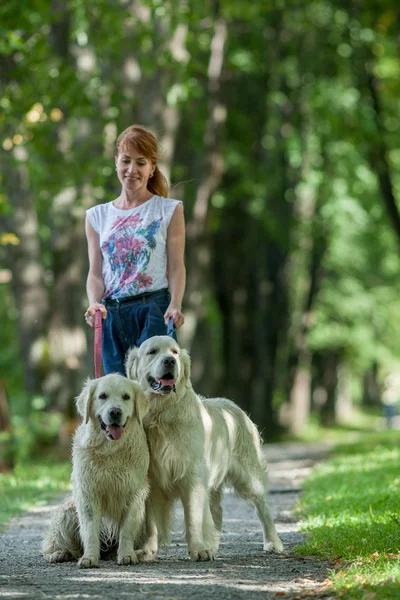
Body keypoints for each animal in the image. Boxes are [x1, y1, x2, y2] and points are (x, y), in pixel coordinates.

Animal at [41, 376, 150, 568]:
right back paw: (58, 553)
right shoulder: (88, 493)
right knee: (55, 544)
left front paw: (127, 555)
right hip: (66, 512)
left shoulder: (134, 494)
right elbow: (90, 530)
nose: (115, 412)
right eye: (102, 396)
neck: (111, 450)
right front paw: (90, 558)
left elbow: (127, 529)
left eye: (126, 397)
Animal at [126, 336, 284, 560]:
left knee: (263, 507)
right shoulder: (151, 479)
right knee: (217, 511)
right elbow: (151, 522)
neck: (163, 413)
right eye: (152, 352)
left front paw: (199, 549)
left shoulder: (192, 475)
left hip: (249, 476)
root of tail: (234, 406)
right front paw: (147, 550)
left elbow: (193, 517)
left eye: (174, 352)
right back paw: (214, 545)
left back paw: (273, 542)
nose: (170, 361)